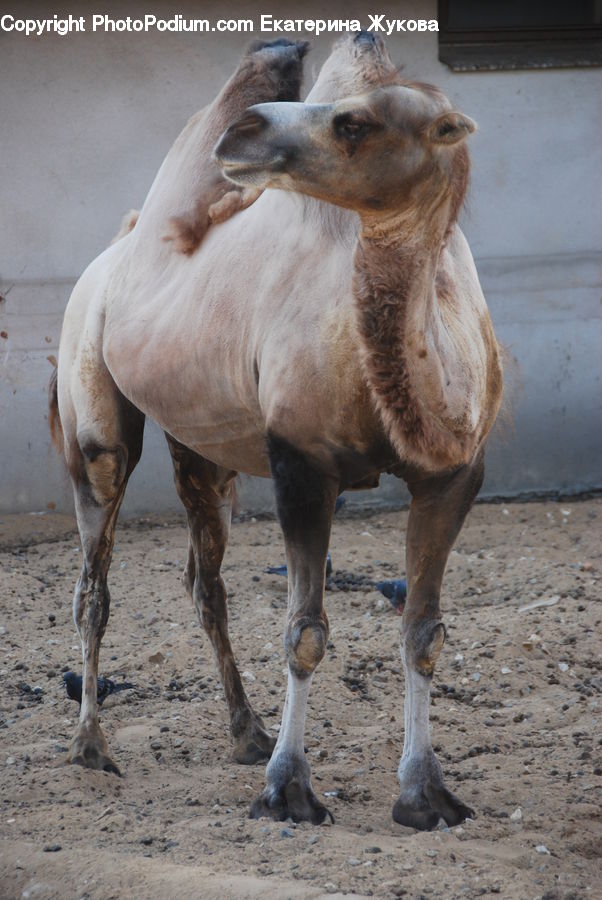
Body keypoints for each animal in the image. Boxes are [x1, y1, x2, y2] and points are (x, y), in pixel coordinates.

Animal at [51, 33, 502, 830]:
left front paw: (425, 794)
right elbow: (305, 632)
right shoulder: (301, 464)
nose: (244, 130)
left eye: (354, 122)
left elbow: (424, 633)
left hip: (202, 450)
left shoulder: (454, 474)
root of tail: (114, 251)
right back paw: (91, 747)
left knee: (205, 583)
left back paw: (245, 731)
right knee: (93, 582)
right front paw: (287, 789)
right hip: (95, 417)